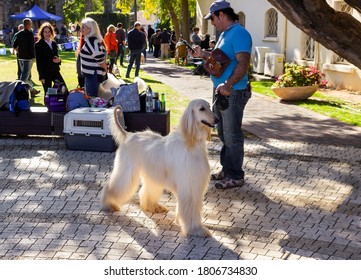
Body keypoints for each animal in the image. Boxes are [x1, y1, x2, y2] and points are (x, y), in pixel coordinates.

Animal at [100, 99, 217, 236]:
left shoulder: (195, 182)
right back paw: (109, 204)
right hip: (127, 170)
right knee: (114, 186)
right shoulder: (189, 184)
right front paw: (196, 229)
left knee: (146, 190)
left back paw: (153, 206)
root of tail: (128, 135)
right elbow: (190, 208)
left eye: (209, 106)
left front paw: (180, 221)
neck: (191, 143)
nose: (217, 119)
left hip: (152, 173)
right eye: (201, 109)